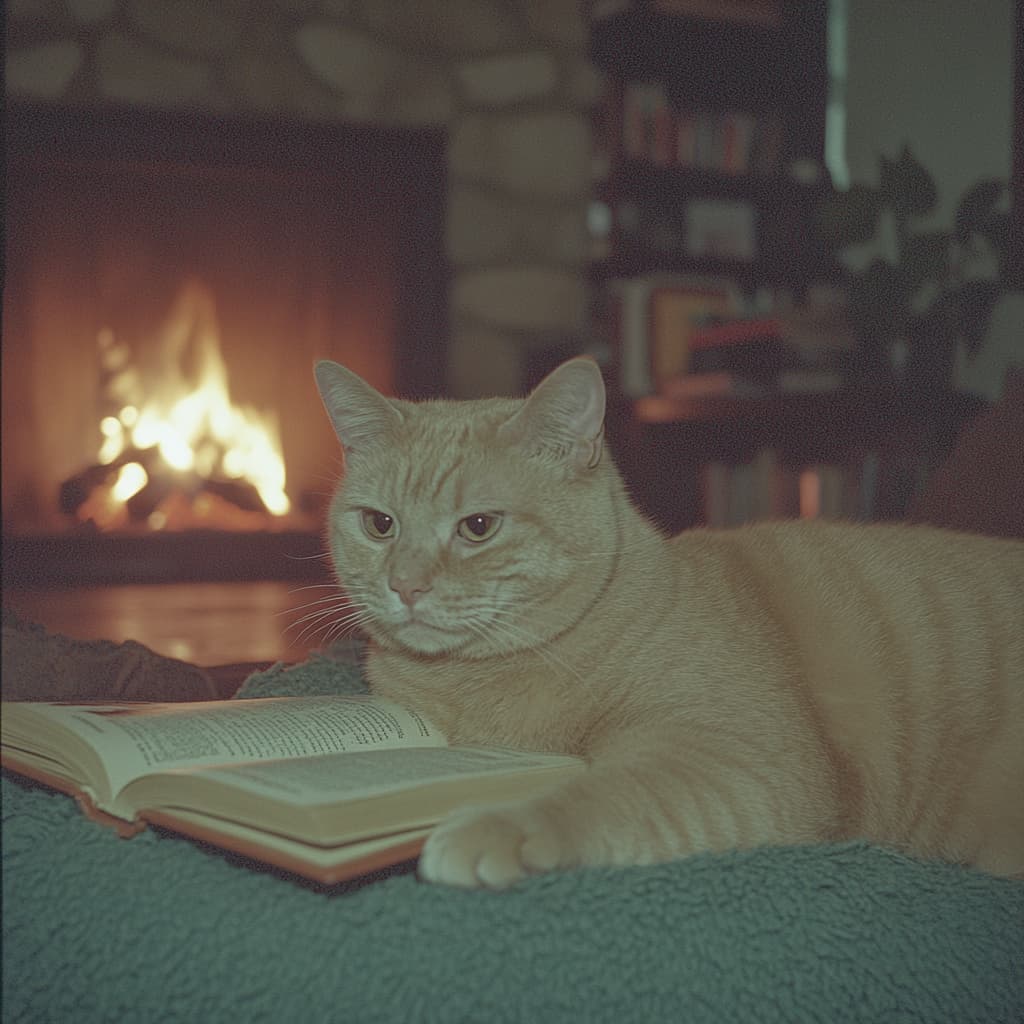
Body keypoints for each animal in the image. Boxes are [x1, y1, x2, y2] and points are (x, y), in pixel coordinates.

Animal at [311, 358, 1024, 888]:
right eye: (380, 524)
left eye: (478, 527)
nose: (405, 586)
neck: (469, 686)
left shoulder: (744, 759)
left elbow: (599, 794)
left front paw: (495, 825)